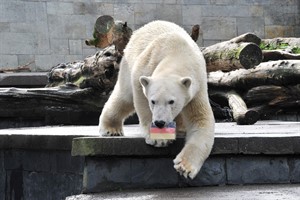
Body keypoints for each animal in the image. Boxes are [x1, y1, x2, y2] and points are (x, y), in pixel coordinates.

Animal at [99, 20, 214, 180]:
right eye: (153, 101)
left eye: (172, 101)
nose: (160, 122)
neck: (178, 54)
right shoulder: (147, 66)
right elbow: (141, 99)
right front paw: (159, 139)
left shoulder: (197, 88)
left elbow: (200, 121)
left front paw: (184, 167)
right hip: (128, 62)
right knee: (124, 97)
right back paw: (111, 129)